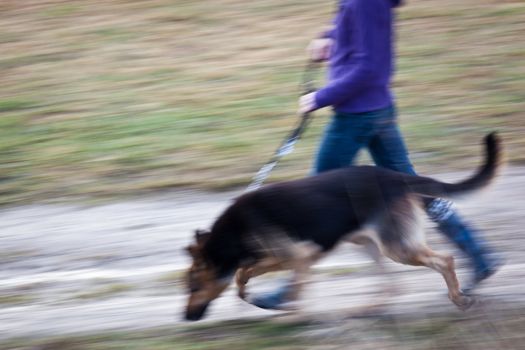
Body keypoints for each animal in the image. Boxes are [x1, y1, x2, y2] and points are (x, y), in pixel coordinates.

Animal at [183, 132, 500, 320]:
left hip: (396, 248)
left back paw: (458, 298)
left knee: (444, 260)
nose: (185, 317)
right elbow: (250, 274)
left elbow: (249, 273)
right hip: (368, 245)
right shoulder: (302, 256)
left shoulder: (296, 255)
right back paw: (370, 309)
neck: (232, 234)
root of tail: (395, 177)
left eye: (194, 287)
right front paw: (258, 298)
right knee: (392, 285)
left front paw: (292, 313)